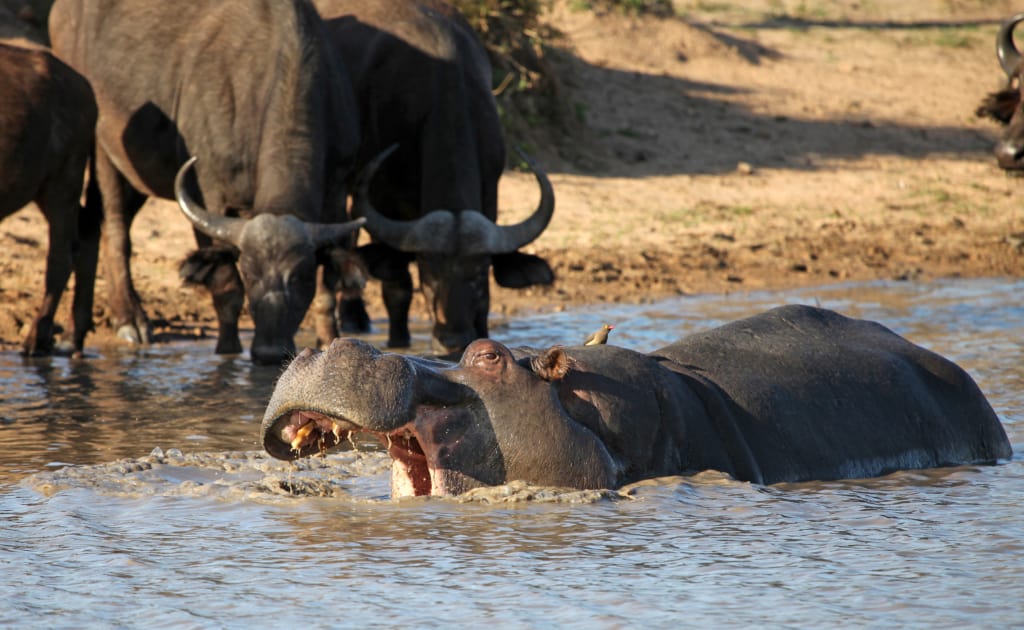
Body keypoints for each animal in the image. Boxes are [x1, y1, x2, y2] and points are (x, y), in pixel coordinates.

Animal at [0, 39, 98, 356]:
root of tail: (82, 84)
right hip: (46, 190)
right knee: (88, 233)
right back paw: (74, 334)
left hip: (63, 183)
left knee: (61, 255)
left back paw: (37, 338)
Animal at [49, 0, 368, 364]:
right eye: (249, 272)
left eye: (300, 277)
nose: (269, 352)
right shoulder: (210, 194)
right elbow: (226, 286)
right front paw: (228, 349)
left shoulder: (336, 191)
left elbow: (328, 288)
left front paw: (330, 340)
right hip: (104, 148)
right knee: (114, 227)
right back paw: (129, 320)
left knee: (91, 224)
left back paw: (75, 334)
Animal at [315, 0, 557, 354]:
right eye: (428, 269)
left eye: (479, 271)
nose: (451, 342)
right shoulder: (383, 200)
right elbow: (398, 289)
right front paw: (399, 342)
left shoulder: (491, 191)